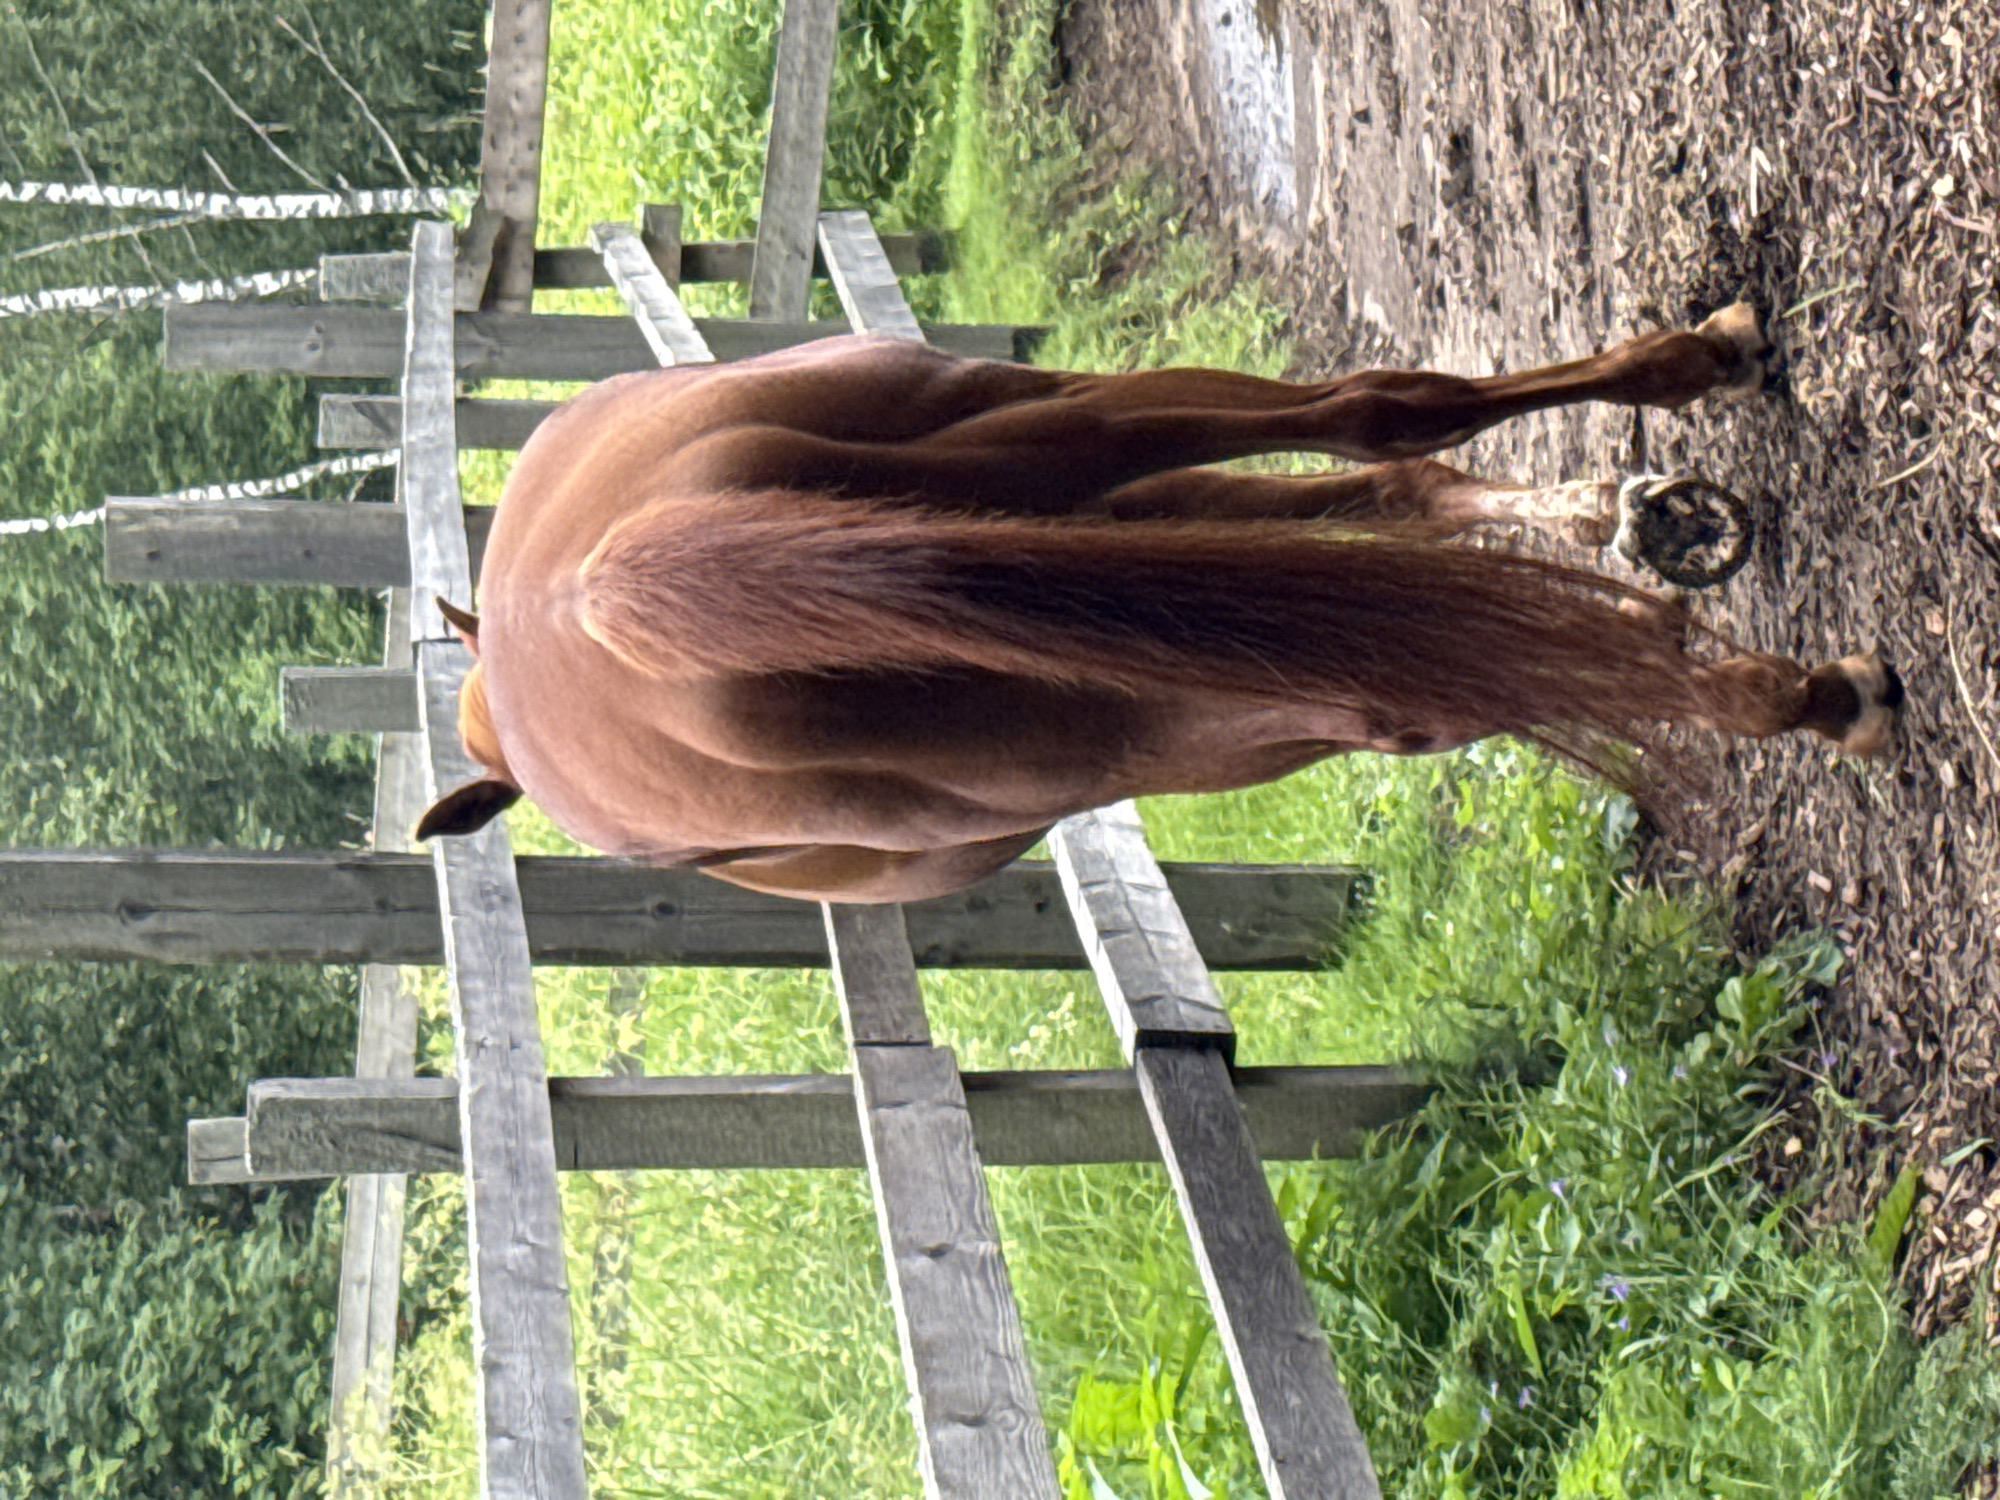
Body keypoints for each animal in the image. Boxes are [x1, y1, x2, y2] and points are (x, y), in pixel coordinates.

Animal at [415, 305, 1901, 903]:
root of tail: (604, 590)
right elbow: (1402, 515)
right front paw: (1639, 525)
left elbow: (1396, 489)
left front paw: (1639, 517)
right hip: (1124, 684)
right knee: (1394, 614)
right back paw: (1784, 678)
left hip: (1042, 439)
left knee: (1376, 421)